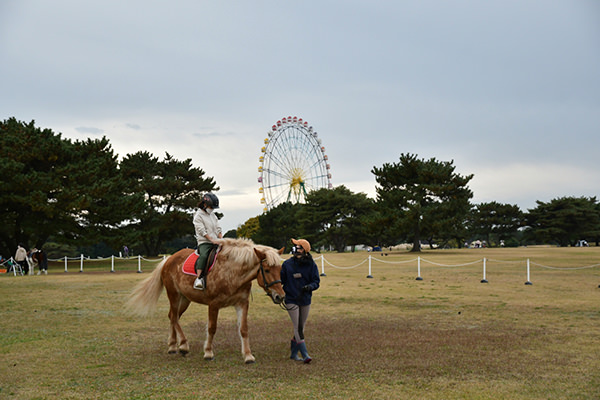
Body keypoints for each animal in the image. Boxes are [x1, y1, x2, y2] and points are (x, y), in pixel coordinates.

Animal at [125, 239, 284, 364]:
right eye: (267, 270)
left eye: (280, 268)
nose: (280, 296)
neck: (232, 272)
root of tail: (168, 260)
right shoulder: (213, 304)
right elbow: (212, 328)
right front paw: (208, 352)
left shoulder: (242, 303)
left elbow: (243, 329)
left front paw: (248, 356)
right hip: (174, 295)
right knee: (174, 317)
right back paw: (183, 345)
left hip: (185, 299)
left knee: (172, 317)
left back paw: (172, 346)